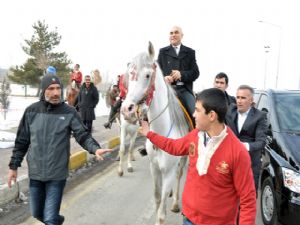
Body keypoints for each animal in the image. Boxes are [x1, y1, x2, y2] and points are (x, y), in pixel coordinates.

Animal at [120, 42, 189, 225]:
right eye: (129, 76)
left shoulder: (168, 171)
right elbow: (157, 198)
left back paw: (175, 203)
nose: (127, 110)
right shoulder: (155, 169)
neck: (161, 134)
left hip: (182, 161)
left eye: (147, 75)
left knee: (179, 175)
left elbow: (161, 212)